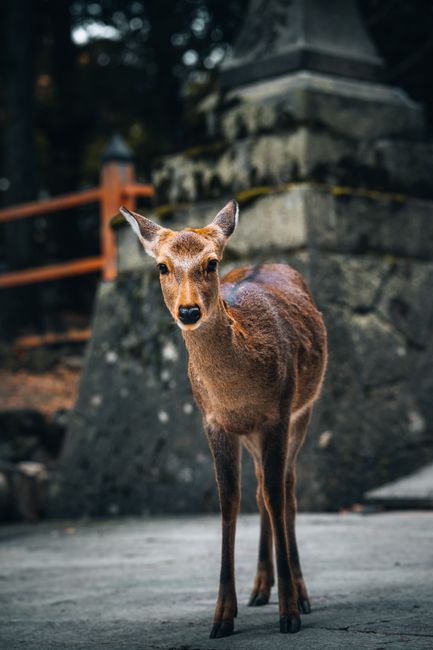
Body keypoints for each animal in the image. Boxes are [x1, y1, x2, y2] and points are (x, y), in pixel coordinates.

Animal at [120, 199, 328, 638]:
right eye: (162, 266)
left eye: (211, 262)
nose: (188, 310)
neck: (236, 392)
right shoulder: (214, 422)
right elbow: (228, 500)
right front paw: (222, 615)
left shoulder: (277, 414)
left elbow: (276, 495)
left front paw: (289, 613)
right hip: (251, 435)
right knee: (261, 491)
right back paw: (260, 588)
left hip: (303, 411)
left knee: (285, 490)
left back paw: (299, 593)